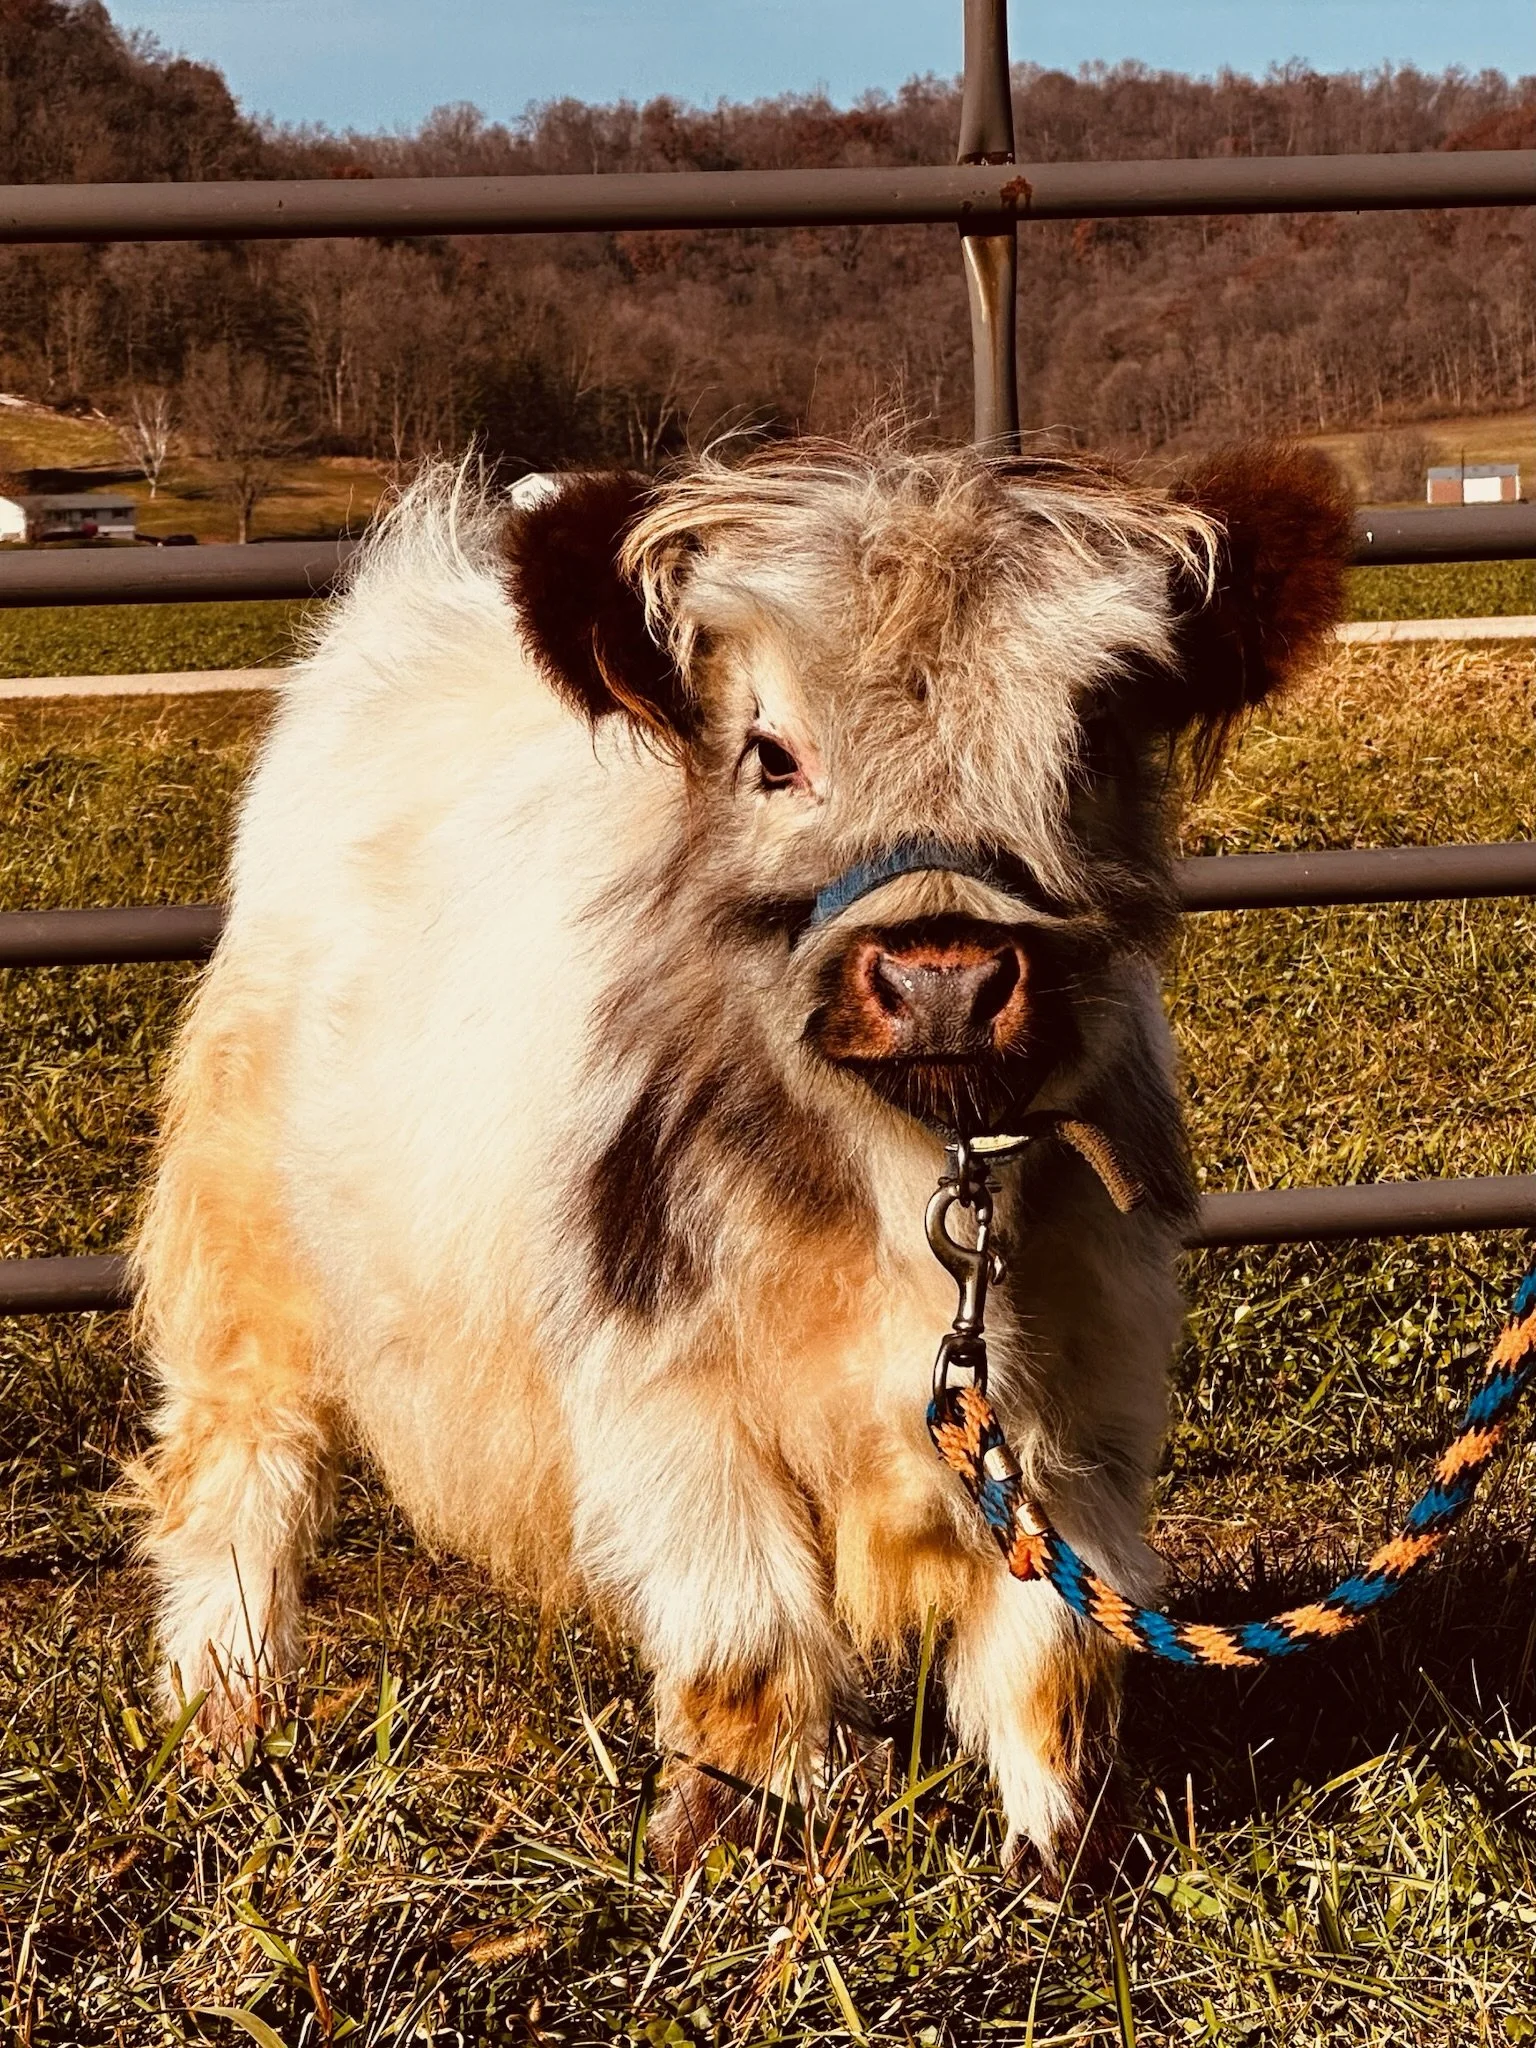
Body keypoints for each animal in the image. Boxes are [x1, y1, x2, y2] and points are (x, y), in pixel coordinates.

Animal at [131, 434, 1351, 1880]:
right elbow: (746, 1643)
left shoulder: (1082, 1407)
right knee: (237, 1480)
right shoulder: (674, 1399)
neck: (907, 1181)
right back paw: (224, 1727)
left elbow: (1053, 1647)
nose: (945, 978)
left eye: (1095, 735)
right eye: (771, 753)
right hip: (244, 1256)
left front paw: (1069, 1856)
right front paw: (730, 1848)